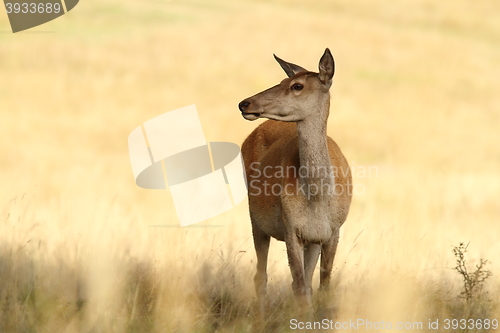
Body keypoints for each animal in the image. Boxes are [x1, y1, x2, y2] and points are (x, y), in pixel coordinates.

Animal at [238, 48, 352, 310]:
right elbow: (300, 287)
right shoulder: (290, 227)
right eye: (282, 81)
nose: (244, 103)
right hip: (255, 218)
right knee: (261, 275)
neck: (318, 200)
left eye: (297, 85)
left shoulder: (332, 231)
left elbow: (320, 288)